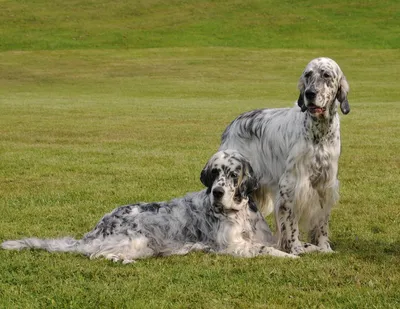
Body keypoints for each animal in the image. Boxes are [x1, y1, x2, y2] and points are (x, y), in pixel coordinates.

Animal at [0, 150, 296, 262]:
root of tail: (95, 229)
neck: (241, 215)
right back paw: (122, 260)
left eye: (233, 174)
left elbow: (276, 243)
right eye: (214, 173)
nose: (217, 192)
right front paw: (290, 257)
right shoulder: (233, 247)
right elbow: (264, 250)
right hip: (138, 240)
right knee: (97, 254)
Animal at [219, 56, 350, 254]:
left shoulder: (325, 185)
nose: (310, 93)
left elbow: (322, 223)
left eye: (326, 75)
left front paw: (324, 247)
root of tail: (233, 124)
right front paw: (295, 247)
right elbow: (291, 222)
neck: (319, 133)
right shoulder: (291, 186)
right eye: (308, 74)